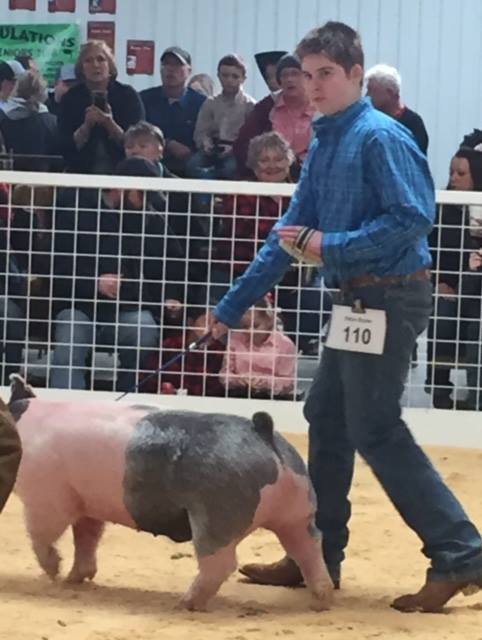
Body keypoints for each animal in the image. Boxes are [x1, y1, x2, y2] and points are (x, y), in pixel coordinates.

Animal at [7, 376, 334, 608]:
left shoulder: (46, 497)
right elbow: (86, 538)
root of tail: (262, 431)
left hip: (217, 515)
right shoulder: (88, 504)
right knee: (308, 546)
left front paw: (54, 574)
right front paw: (75, 579)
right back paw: (322, 599)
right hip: (298, 511)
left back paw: (185, 603)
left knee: (221, 562)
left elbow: (41, 535)